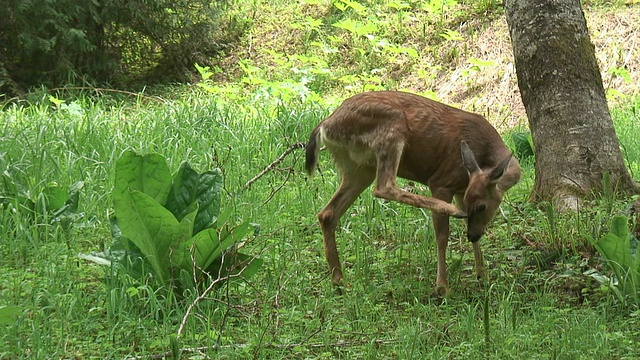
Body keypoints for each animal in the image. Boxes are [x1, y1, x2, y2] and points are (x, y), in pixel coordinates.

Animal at [304, 90, 520, 296]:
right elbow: (442, 236)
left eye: (480, 206)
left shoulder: (462, 189)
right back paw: (448, 209)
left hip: (358, 168)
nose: (472, 236)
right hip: (390, 131)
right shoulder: (443, 181)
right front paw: (443, 287)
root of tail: (325, 125)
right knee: (383, 187)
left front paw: (483, 276)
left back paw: (338, 281)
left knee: (327, 214)